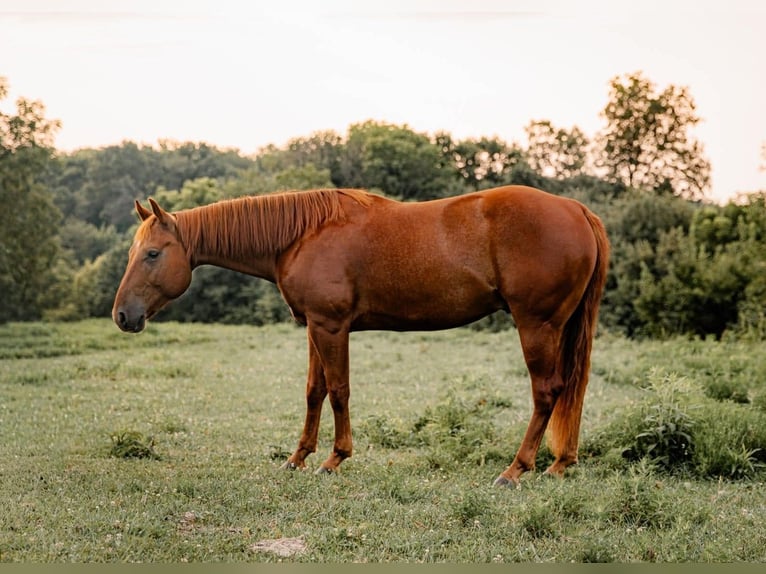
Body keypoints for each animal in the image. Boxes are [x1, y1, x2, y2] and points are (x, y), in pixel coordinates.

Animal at [112, 185, 609, 486]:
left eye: (153, 253)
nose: (123, 315)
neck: (301, 235)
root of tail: (577, 209)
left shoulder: (332, 326)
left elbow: (338, 391)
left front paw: (335, 459)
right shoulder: (314, 326)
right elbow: (313, 392)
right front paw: (297, 457)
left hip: (536, 325)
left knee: (546, 392)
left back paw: (516, 469)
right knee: (567, 392)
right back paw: (561, 463)